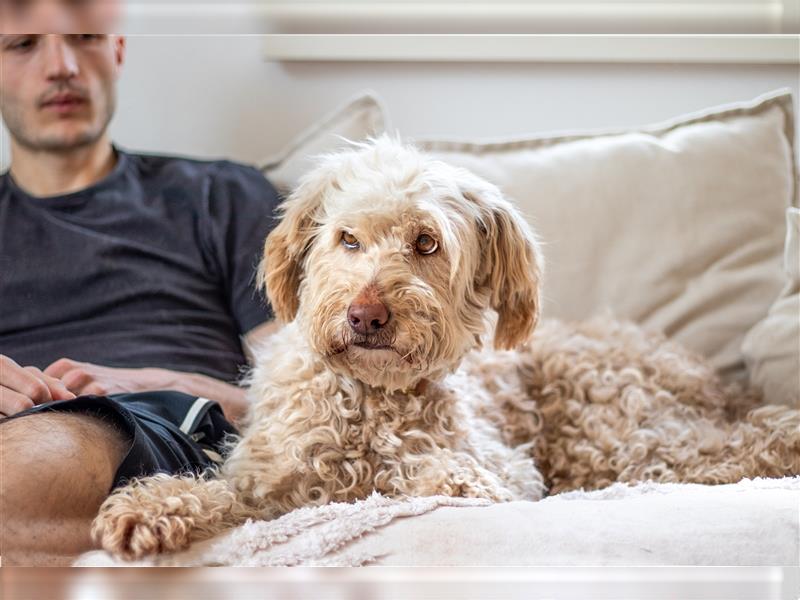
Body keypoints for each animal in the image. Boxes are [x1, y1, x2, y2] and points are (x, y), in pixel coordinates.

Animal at [94, 138, 800, 560]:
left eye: (426, 243)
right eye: (348, 239)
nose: (365, 315)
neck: (369, 399)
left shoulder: (510, 469)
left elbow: (446, 473)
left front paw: (438, 478)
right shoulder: (267, 482)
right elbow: (217, 491)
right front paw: (148, 508)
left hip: (617, 431)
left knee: (737, 446)